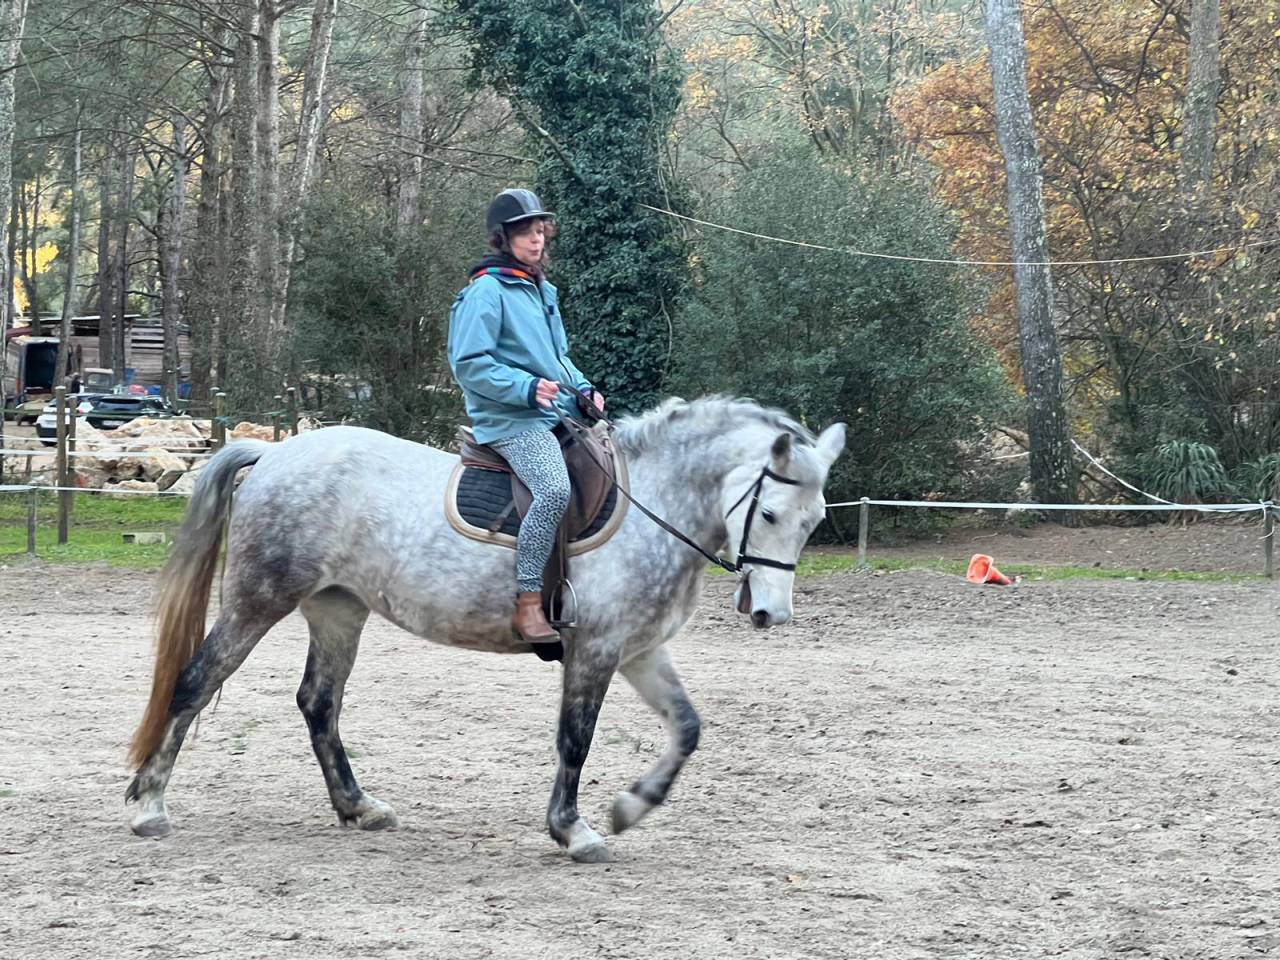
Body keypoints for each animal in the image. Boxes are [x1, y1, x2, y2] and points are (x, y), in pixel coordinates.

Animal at [125, 396, 846, 862]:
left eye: (813, 520)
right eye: (772, 513)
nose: (771, 615)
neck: (655, 502)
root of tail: (274, 453)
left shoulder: (638, 650)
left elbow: (688, 727)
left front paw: (631, 806)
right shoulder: (596, 649)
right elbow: (574, 740)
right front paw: (573, 831)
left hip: (338, 610)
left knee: (318, 704)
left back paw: (359, 807)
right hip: (259, 600)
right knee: (195, 681)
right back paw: (149, 807)